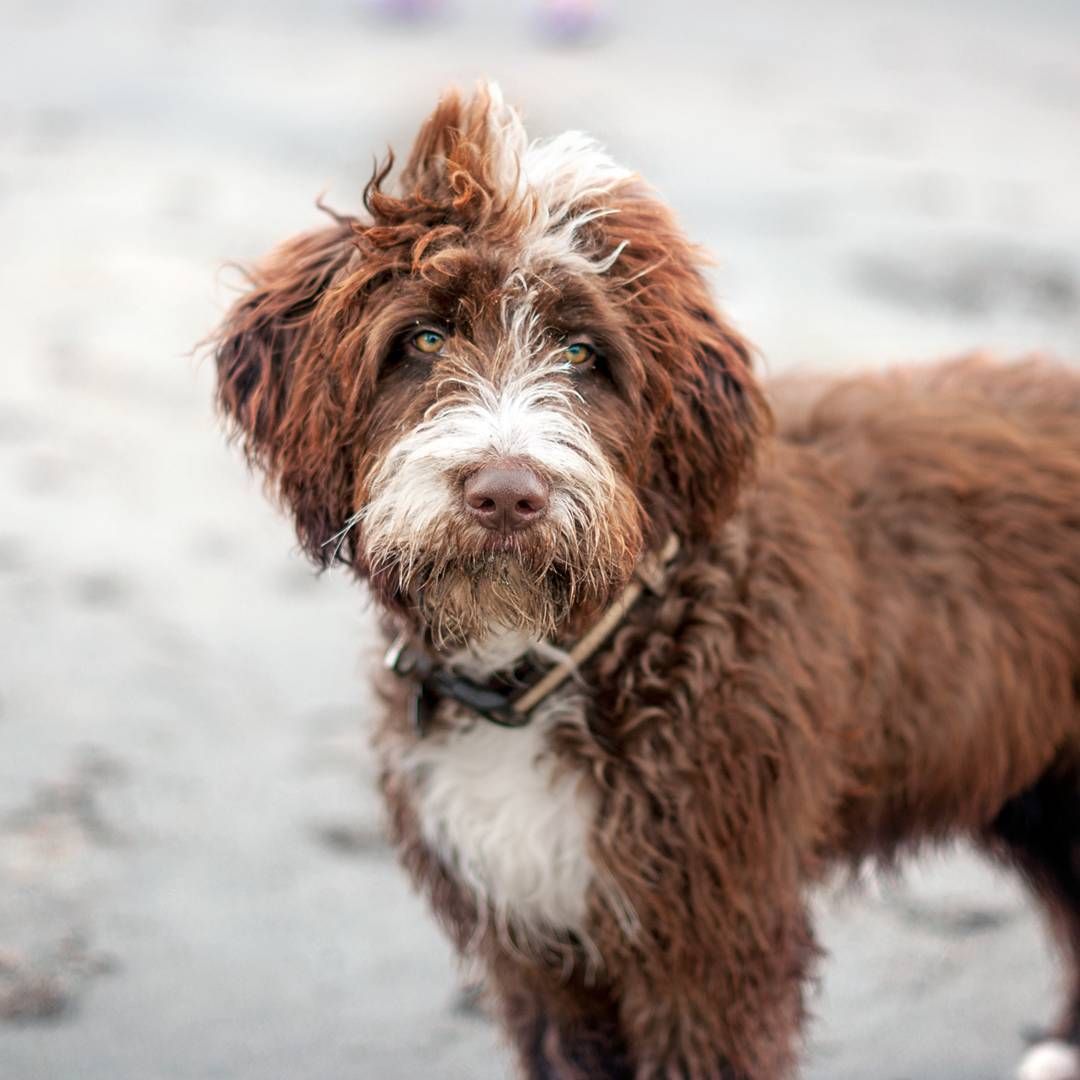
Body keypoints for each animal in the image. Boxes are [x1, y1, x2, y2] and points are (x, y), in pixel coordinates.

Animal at [208, 79, 1080, 1075]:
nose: (507, 494)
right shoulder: (537, 948)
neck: (556, 666)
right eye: (423, 339)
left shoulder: (707, 939)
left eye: (584, 354)